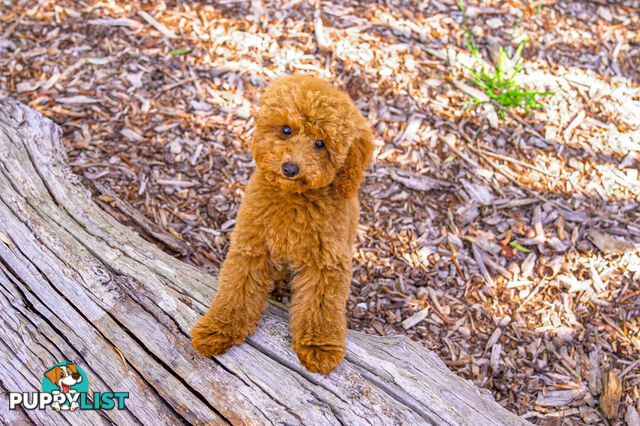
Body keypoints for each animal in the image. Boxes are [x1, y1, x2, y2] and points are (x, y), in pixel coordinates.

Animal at [190, 75, 372, 374]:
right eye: (286, 129)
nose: (290, 168)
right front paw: (219, 329)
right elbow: (237, 290)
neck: (294, 197)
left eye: (320, 143)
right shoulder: (252, 246)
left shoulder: (327, 261)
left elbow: (322, 304)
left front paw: (320, 346)